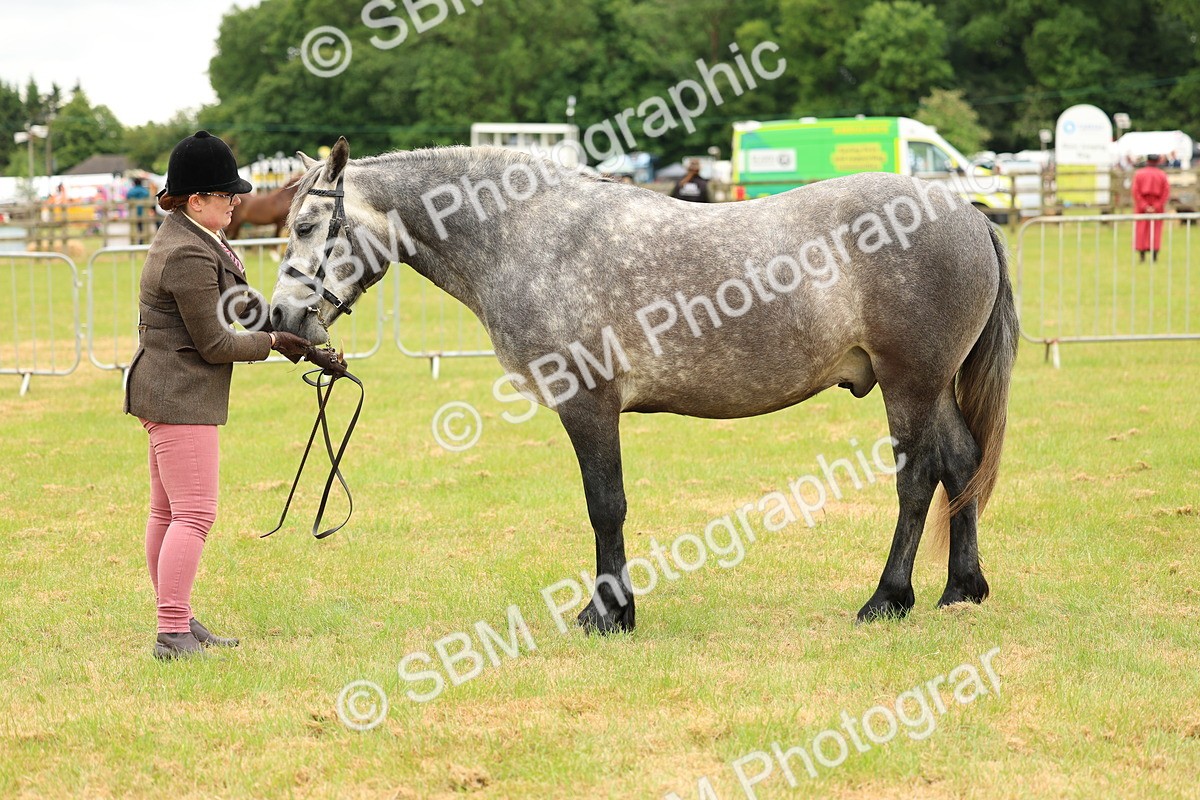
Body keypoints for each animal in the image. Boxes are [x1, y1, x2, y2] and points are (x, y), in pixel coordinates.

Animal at [269, 137, 1018, 632]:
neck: (530, 236)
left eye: (305, 226)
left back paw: (888, 599)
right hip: (935, 387)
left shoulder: (587, 403)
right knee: (962, 465)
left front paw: (608, 613)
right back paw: (962, 589)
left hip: (910, 384)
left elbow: (606, 505)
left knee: (917, 479)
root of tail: (970, 213)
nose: (279, 318)